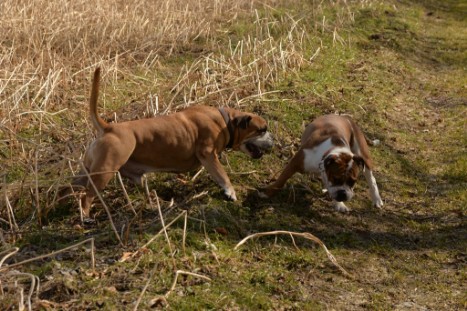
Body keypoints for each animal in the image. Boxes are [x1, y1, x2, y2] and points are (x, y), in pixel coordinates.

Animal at [73, 68, 274, 219]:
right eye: (262, 130)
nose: (273, 139)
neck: (225, 122)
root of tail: (109, 128)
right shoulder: (208, 154)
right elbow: (222, 175)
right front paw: (230, 192)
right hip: (104, 171)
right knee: (86, 197)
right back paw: (86, 217)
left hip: (88, 172)